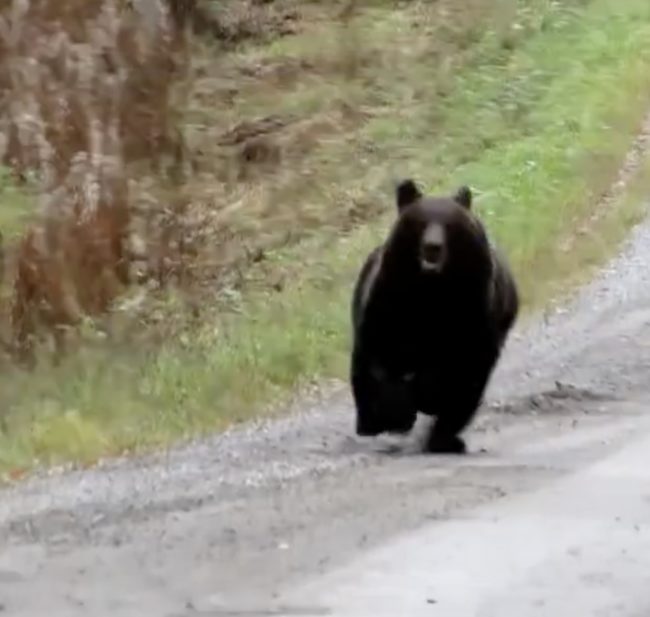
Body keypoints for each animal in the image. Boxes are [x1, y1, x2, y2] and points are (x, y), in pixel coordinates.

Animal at [350, 178, 519, 454]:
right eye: (421, 221)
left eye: (450, 224)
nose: (433, 247)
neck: (431, 289)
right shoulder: (388, 304)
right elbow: (382, 359)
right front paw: (396, 414)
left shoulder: (473, 314)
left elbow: (464, 377)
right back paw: (371, 422)